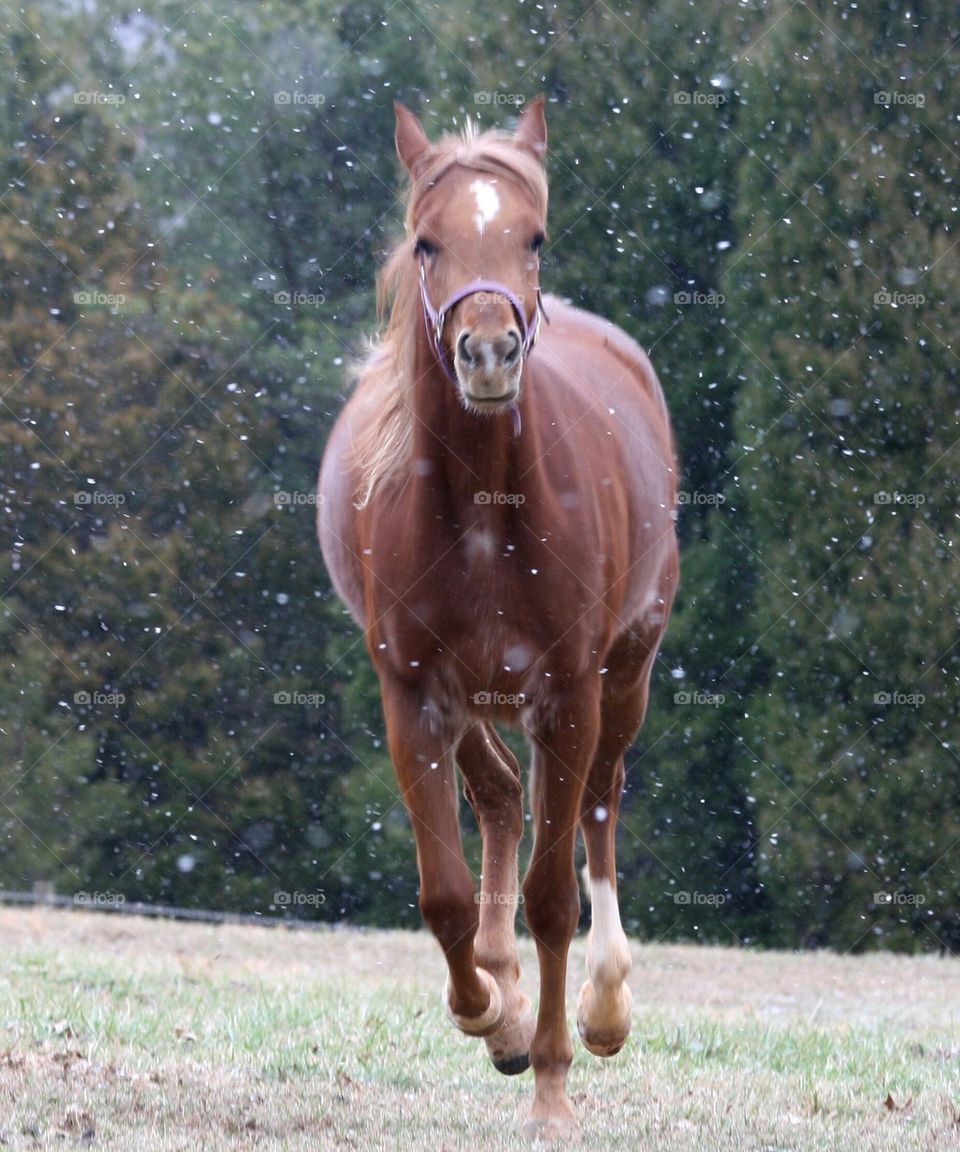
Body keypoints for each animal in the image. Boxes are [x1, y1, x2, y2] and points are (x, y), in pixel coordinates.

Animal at [318, 94, 677, 1138]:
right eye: (426, 241)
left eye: (534, 237)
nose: (487, 351)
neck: (485, 506)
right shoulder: (413, 696)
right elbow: (444, 896)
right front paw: (495, 1016)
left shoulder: (567, 694)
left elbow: (554, 897)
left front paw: (553, 1081)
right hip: (477, 701)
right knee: (501, 797)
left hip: (624, 678)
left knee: (598, 807)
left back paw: (603, 1007)